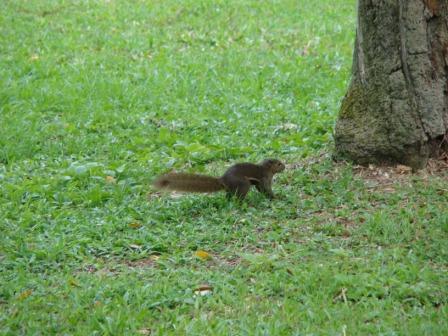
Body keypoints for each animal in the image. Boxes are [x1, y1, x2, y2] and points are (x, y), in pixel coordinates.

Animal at [154, 158, 286, 200]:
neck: (266, 169)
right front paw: (276, 197)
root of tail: (223, 180)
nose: (284, 166)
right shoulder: (264, 178)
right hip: (244, 184)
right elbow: (266, 189)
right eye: (279, 164)